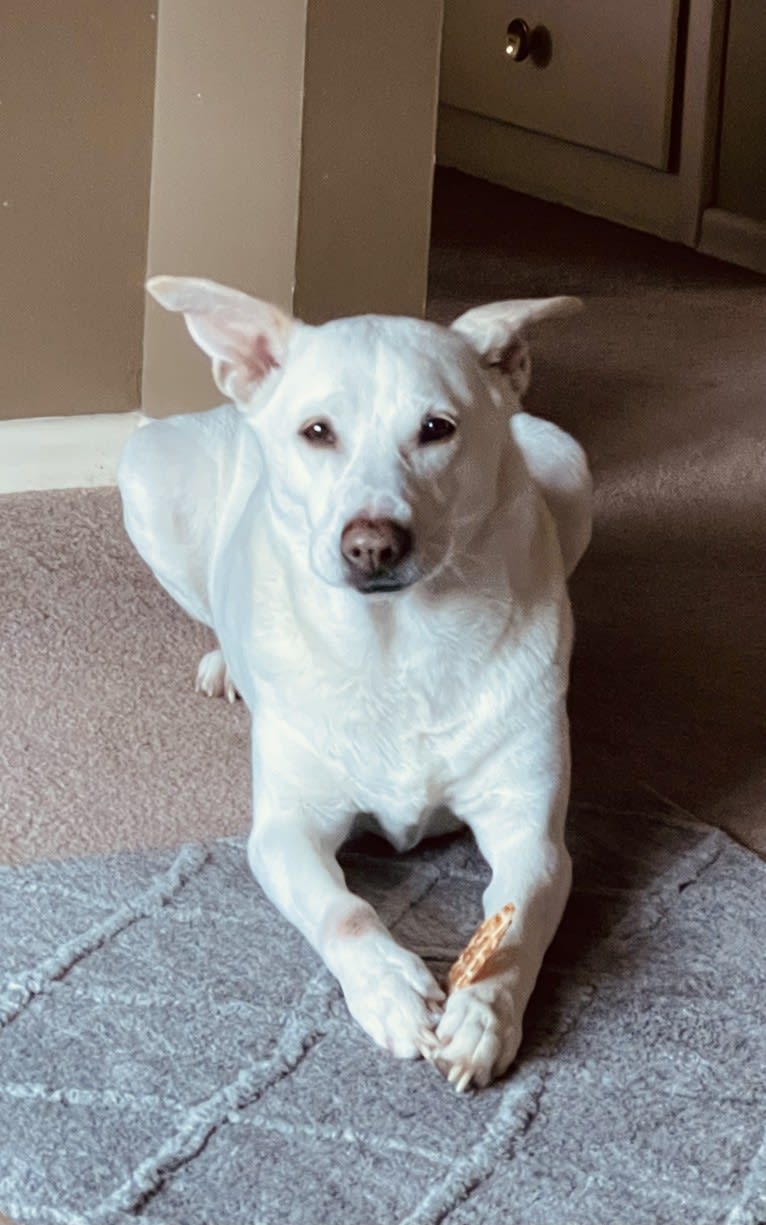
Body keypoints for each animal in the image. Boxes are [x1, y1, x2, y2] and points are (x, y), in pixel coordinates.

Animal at [118, 278, 590, 1092]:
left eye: (437, 428)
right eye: (317, 431)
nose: (373, 544)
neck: (396, 643)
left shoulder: (530, 834)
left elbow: (515, 924)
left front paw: (483, 1014)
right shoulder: (286, 829)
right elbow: (344, 911)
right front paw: (390, 988)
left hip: (569, 461)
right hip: (146, 473)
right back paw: (225, 662)